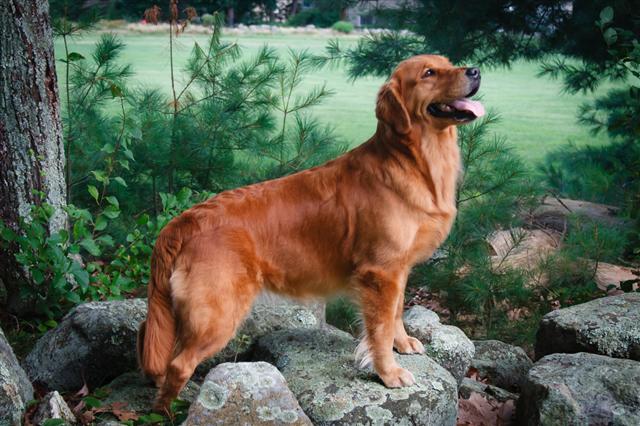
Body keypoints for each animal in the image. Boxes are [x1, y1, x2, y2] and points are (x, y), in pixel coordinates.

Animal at [138, 53, 482, 410]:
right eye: (429, 73)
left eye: (448, 63)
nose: (475, 71)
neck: (413, 161)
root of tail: (185, 220)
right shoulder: (380, 272)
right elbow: (380, 328)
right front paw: (388, 373)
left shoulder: (398, 271)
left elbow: (396, 313)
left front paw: (401, 342)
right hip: (218, 313)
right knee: (178, 364)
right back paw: (167, 411)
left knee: (148, 337)